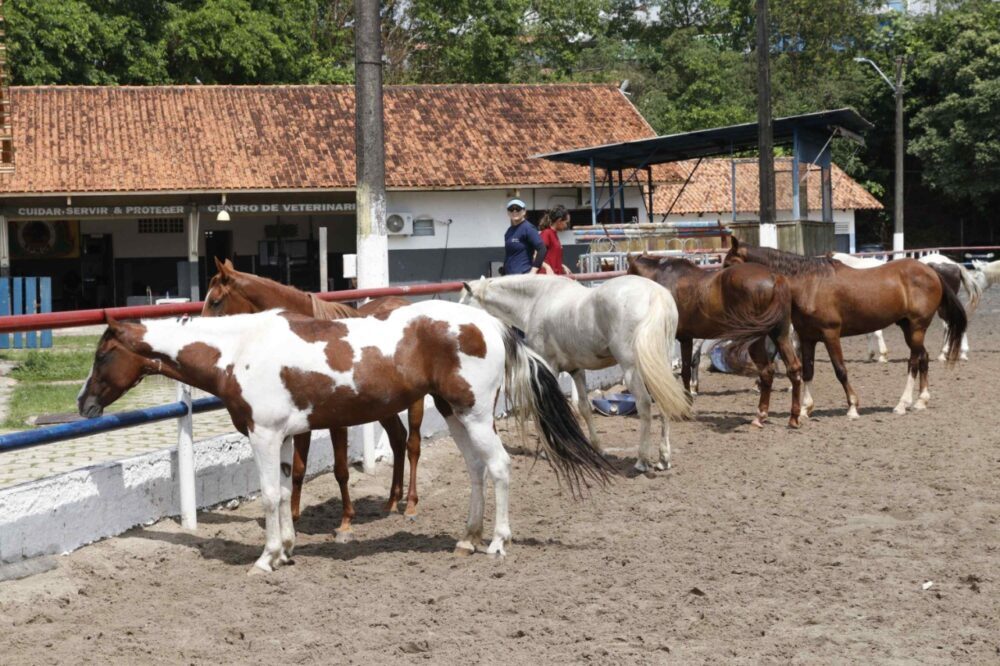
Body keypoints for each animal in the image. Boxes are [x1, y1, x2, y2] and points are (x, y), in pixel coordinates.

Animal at [76, 304, 616, 572]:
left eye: (102, 355)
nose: (83, 404)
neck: (240, 350)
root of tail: (492, 324)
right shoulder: (281, 439)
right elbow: (285, 491)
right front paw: (286, 549)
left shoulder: (263, 436)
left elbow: (269, 496)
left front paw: (266, 559)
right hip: (455, 414)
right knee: (476, 470)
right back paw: (466, 539)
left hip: (476, 415)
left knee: (500, 467)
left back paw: (497, 543)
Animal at [201, 256, 420, 536]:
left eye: (216, 301)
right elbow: (297, 470)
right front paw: (293, 518)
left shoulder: (338, 421)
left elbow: (341, 469)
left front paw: (346, 519)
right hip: (384, 406)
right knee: (398, 438)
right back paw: (392, 501)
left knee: (413, 444)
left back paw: (410, 504)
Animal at [458, 272, 688, 470]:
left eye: (464, 304)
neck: (536, 300)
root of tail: (656, 295)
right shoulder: (576, 370)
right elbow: (584, 407)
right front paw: (597, 448)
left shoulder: (549, 367)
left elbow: (545, 407)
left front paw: (547, 451)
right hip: (658, 366)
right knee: (664, 402)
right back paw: (663, 458)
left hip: (632, 368)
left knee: (644, 404)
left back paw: (642, 460)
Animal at [628, 254, 808, 426]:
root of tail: (775, 277)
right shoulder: (687, 338)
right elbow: (685, 370)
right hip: (780, 335)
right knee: (793, 368)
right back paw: (793, 418)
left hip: (756, 339)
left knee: (766, 371)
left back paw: (760, 416)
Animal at [724, 236, 964, 418]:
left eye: (728, 264)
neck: (809, 284)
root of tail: (932, 272)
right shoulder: (807, 337)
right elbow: (808, 370)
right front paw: (805, 408)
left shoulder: (831, 335)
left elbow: (840, 370)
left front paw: (852, 407)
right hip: (909, 328)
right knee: (923, 357)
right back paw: (921, 401)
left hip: (916, 328)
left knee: (913, 362)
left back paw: (902, 404)